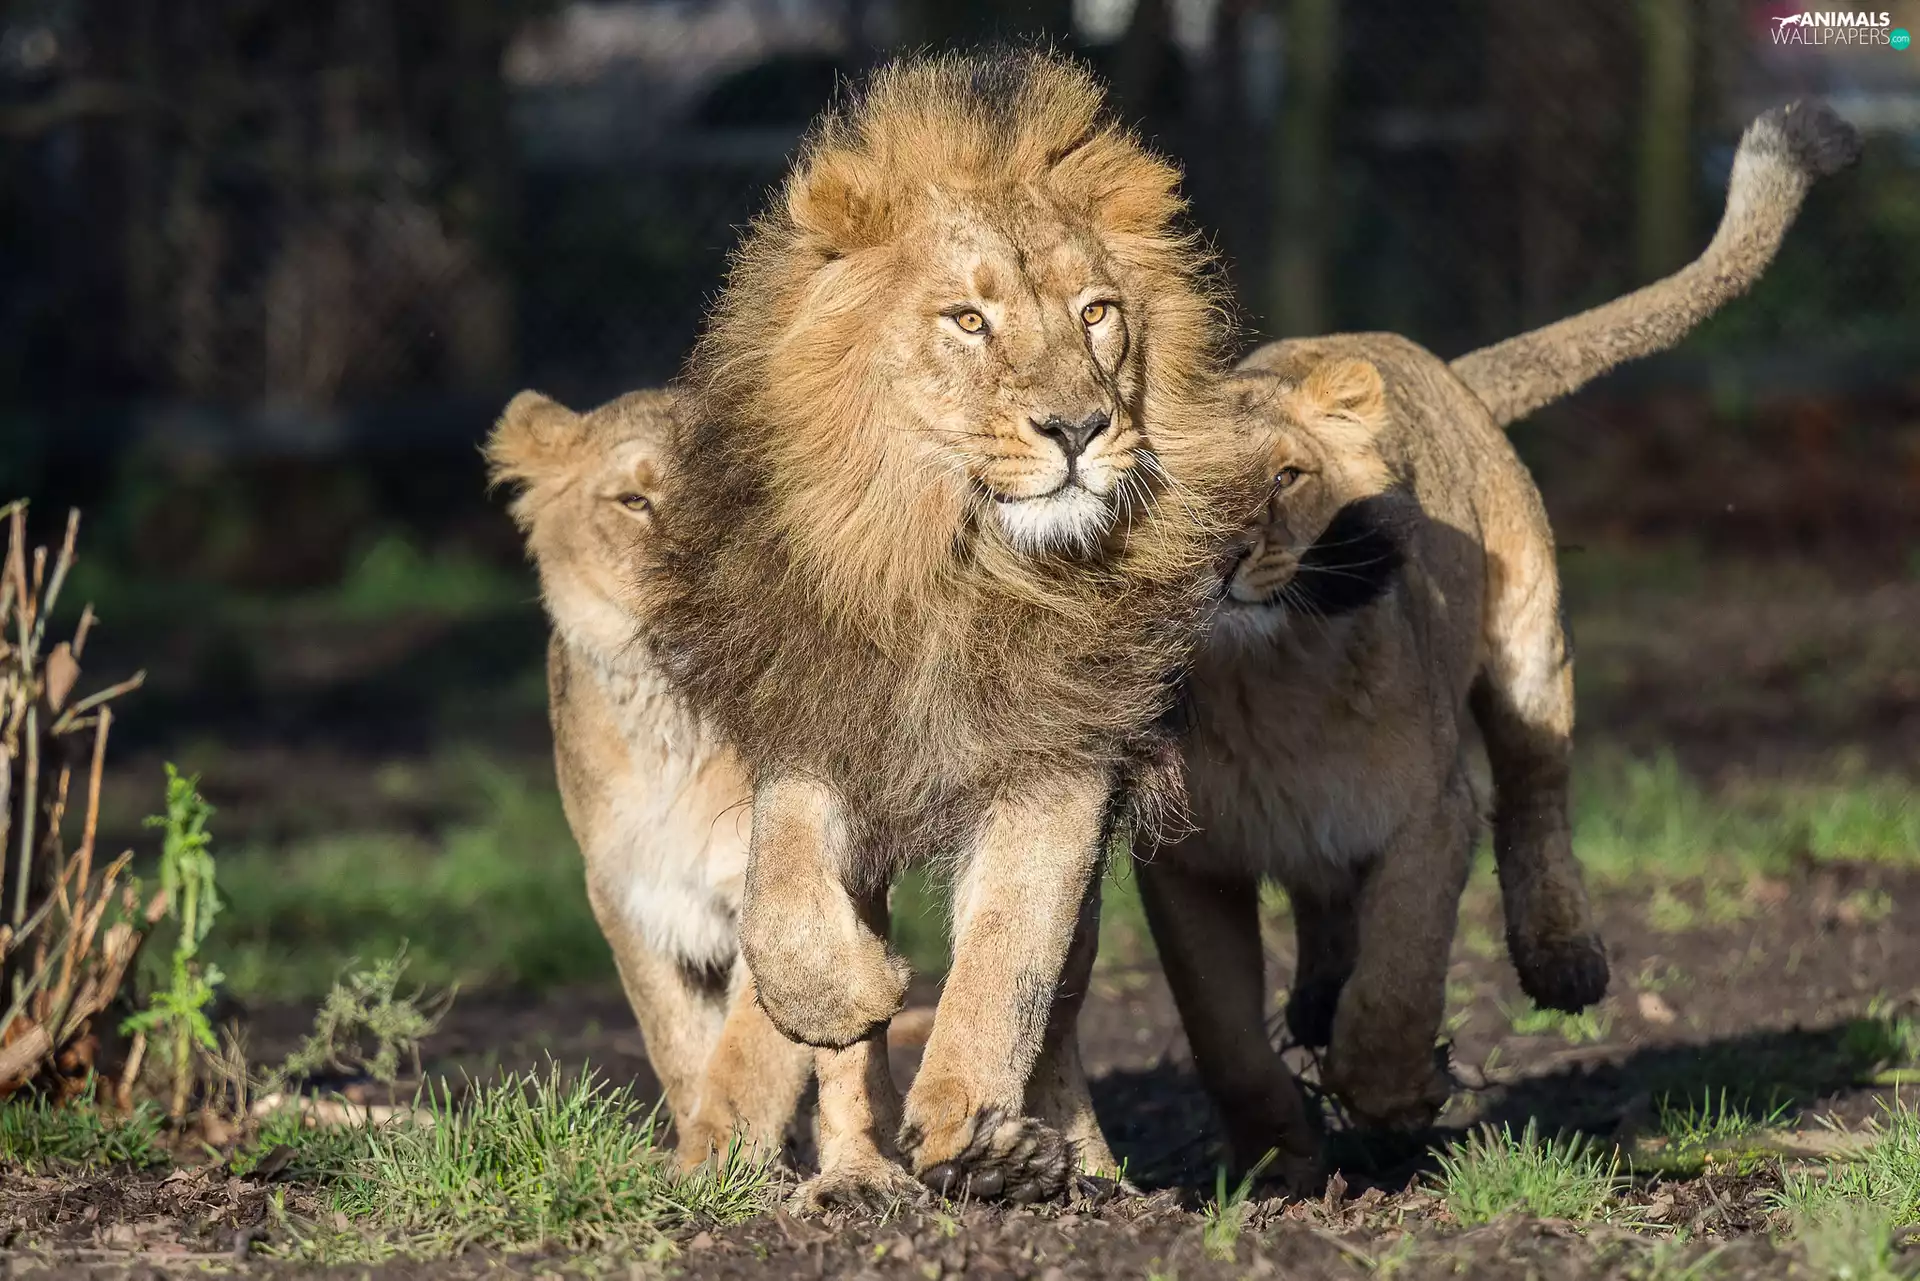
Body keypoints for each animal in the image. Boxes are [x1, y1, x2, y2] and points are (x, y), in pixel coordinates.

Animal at [485, 387, 814, 1172]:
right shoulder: (627, 890)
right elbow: (677, 1038)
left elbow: (751, 1046)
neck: (678, 724)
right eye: (634, 500)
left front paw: (718, 1160)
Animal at [638, 51, 1266, 1207]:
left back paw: (1064, 1167)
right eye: (968, 321)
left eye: (1098, 313)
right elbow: (779, 900)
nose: (1080, 428)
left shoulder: (1060, 755)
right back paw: (854, 1174)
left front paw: (974, 1129)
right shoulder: (822, 728)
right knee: (846, 1064)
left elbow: (1010, 957)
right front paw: (851, 990)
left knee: (1061, 1003)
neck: (958, 569)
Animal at [1135, 99, 1860, 1175]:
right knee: (1325, 898)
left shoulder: (1431, 812)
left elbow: (1398, 980)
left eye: (1285, 477)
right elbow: (1220, 1034)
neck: (1263, 684)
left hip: (1530, 654)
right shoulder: (1183, 861)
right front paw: (1276, 1160)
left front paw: (1393, 1096)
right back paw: (1314, 1003)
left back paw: (1561, 958)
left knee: (1535, 796)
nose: (1222, 556)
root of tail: (1436, 364)